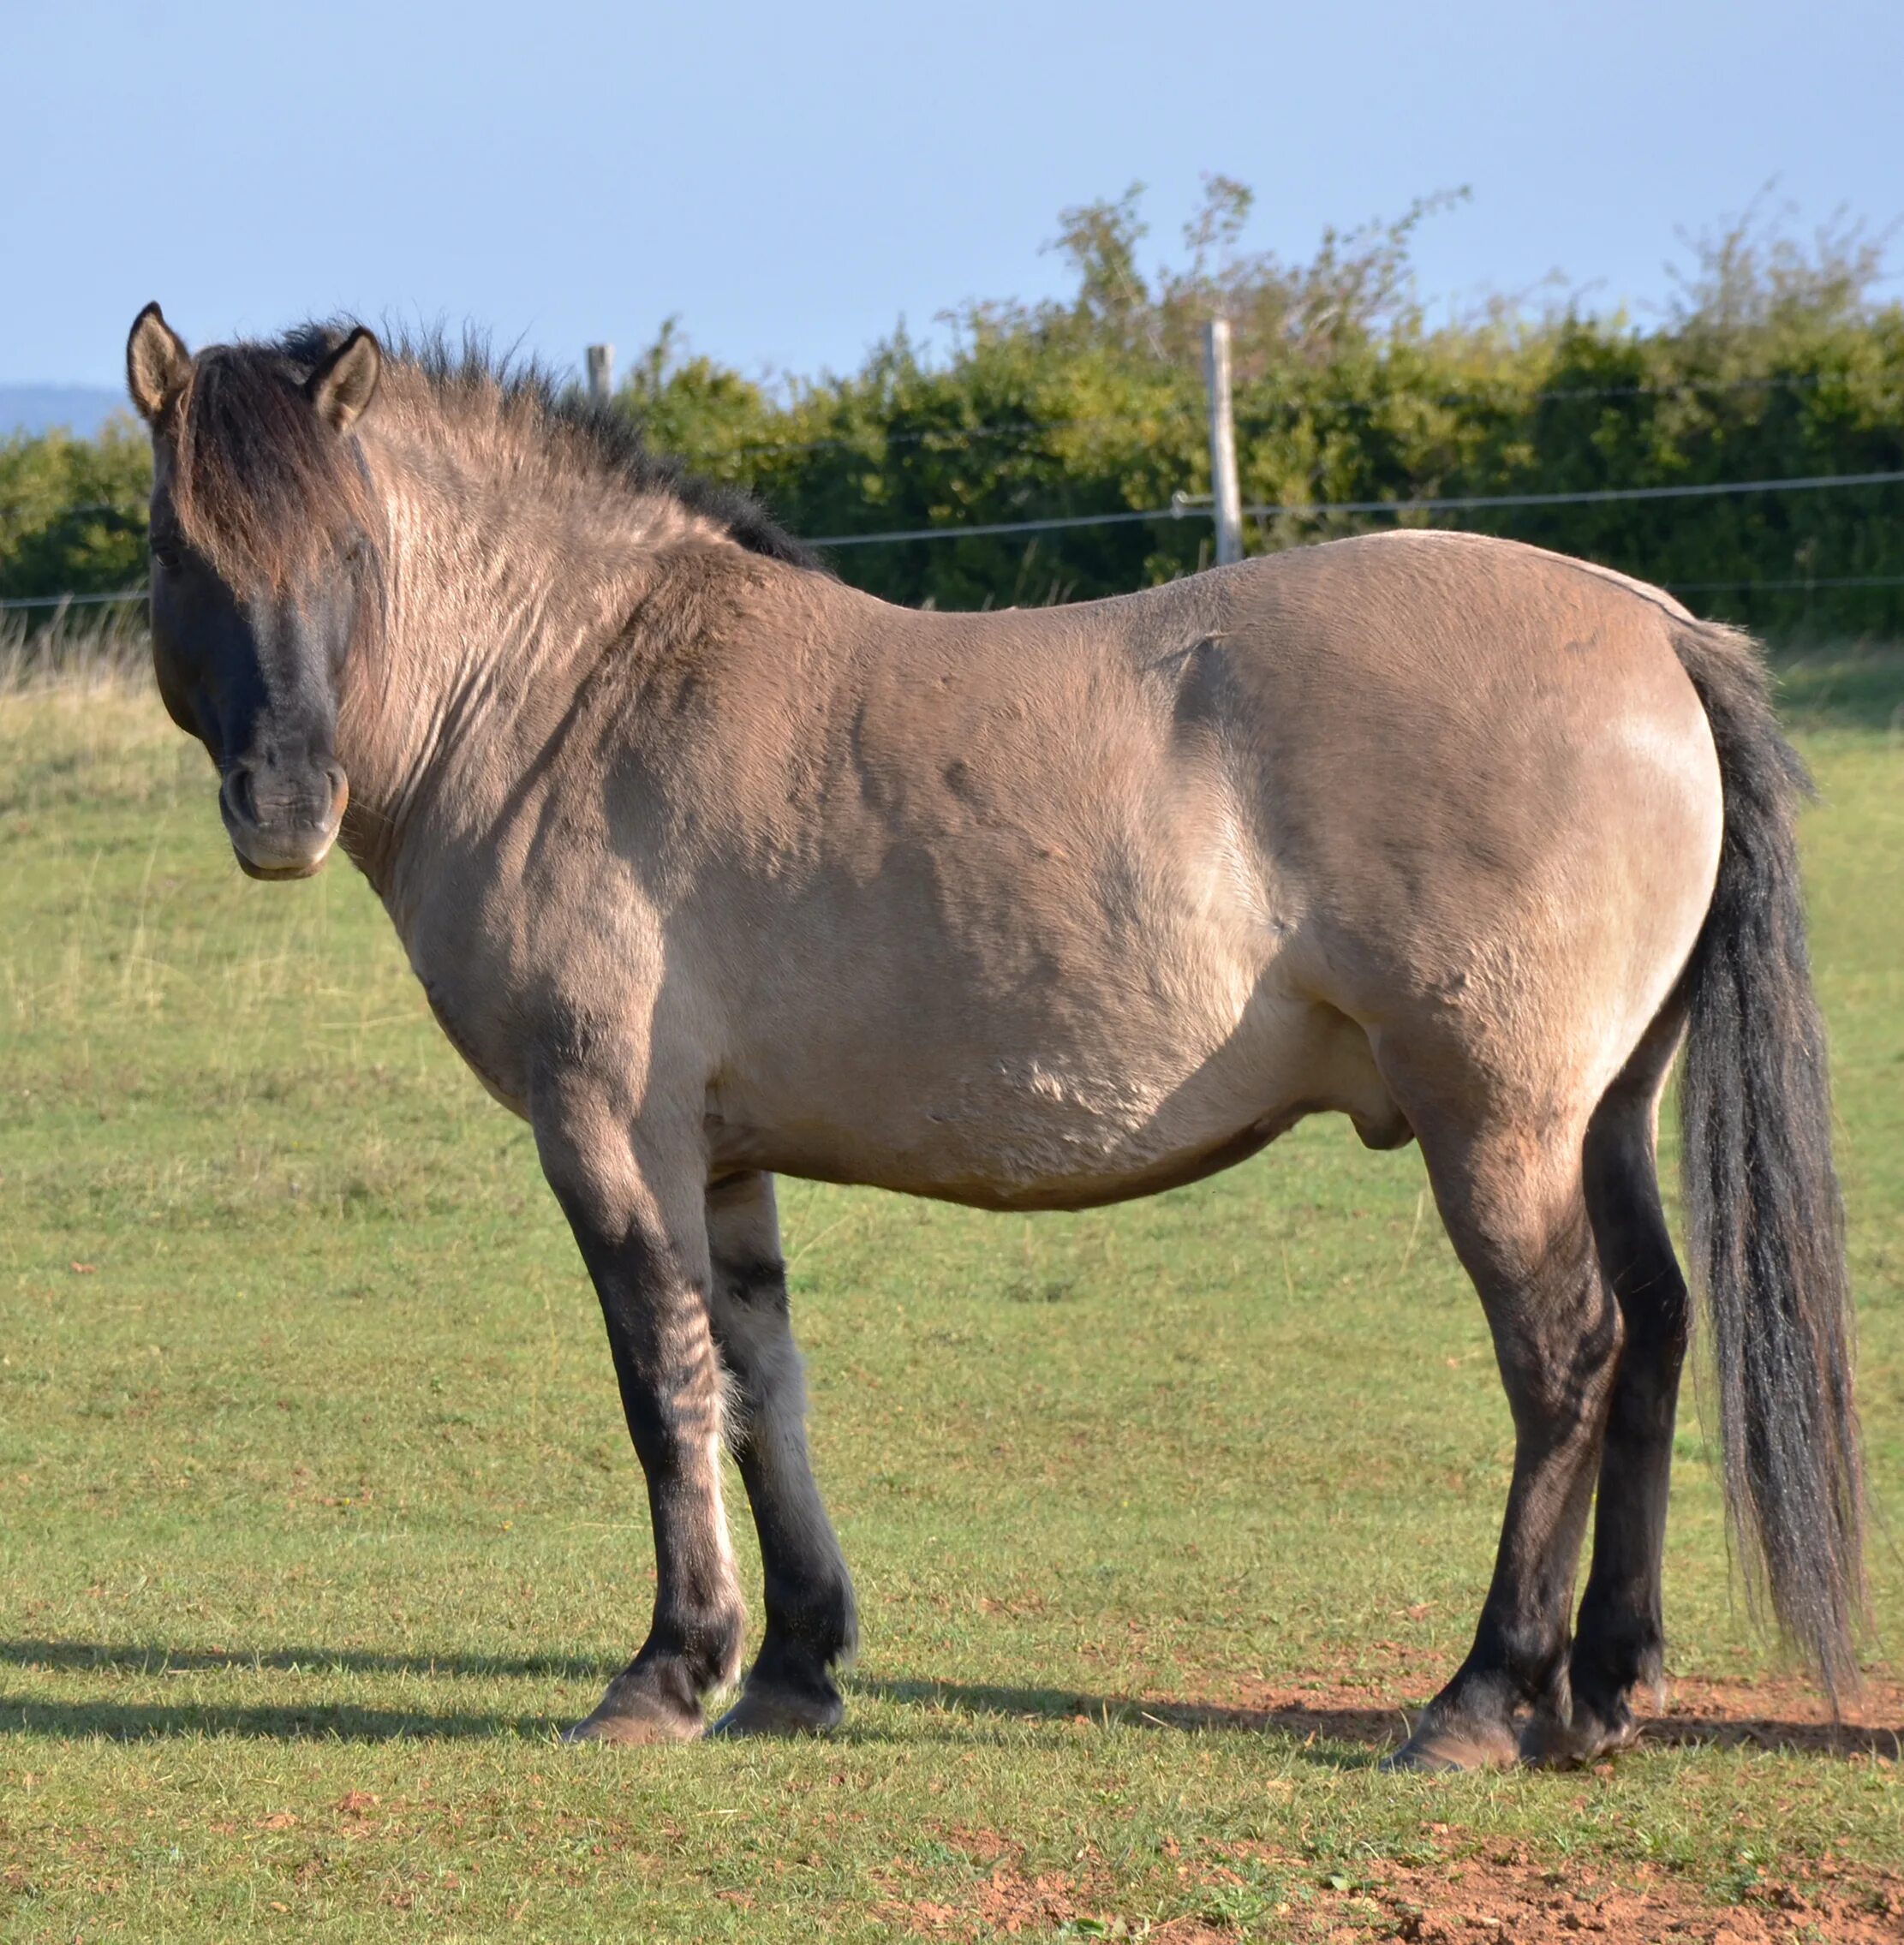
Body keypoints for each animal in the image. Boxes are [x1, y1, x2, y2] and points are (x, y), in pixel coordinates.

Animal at [122, 299, 1859, 1766]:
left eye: (352, 547)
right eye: (177, 550)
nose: (283, 806)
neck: (580, 691)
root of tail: (1649, 631)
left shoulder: (610, 1137)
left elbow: (662, 1387)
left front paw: (668, 1670)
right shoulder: (720, 1158)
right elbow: (759, 1384)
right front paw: (792, 1664)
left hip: (1495, 1126)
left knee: (1565, 1355)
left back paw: (1484, 1696)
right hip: (1598, 1114)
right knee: (1655, 1329)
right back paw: (1603, 1686)